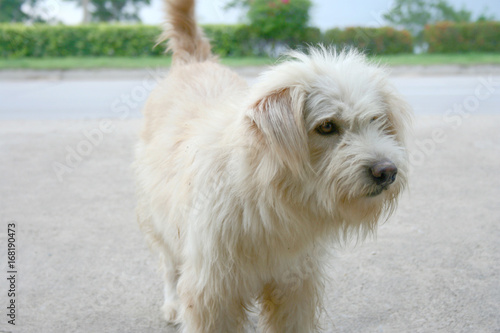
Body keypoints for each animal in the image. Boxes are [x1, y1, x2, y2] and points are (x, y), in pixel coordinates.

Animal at [133, 0, 410, 332]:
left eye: (375, 120)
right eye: (327, 126)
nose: (387, 171)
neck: (266, 195)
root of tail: (193, 61)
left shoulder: (294, 285)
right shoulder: (211, 291)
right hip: (158, 219)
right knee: (168, 265)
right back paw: (172, 304)